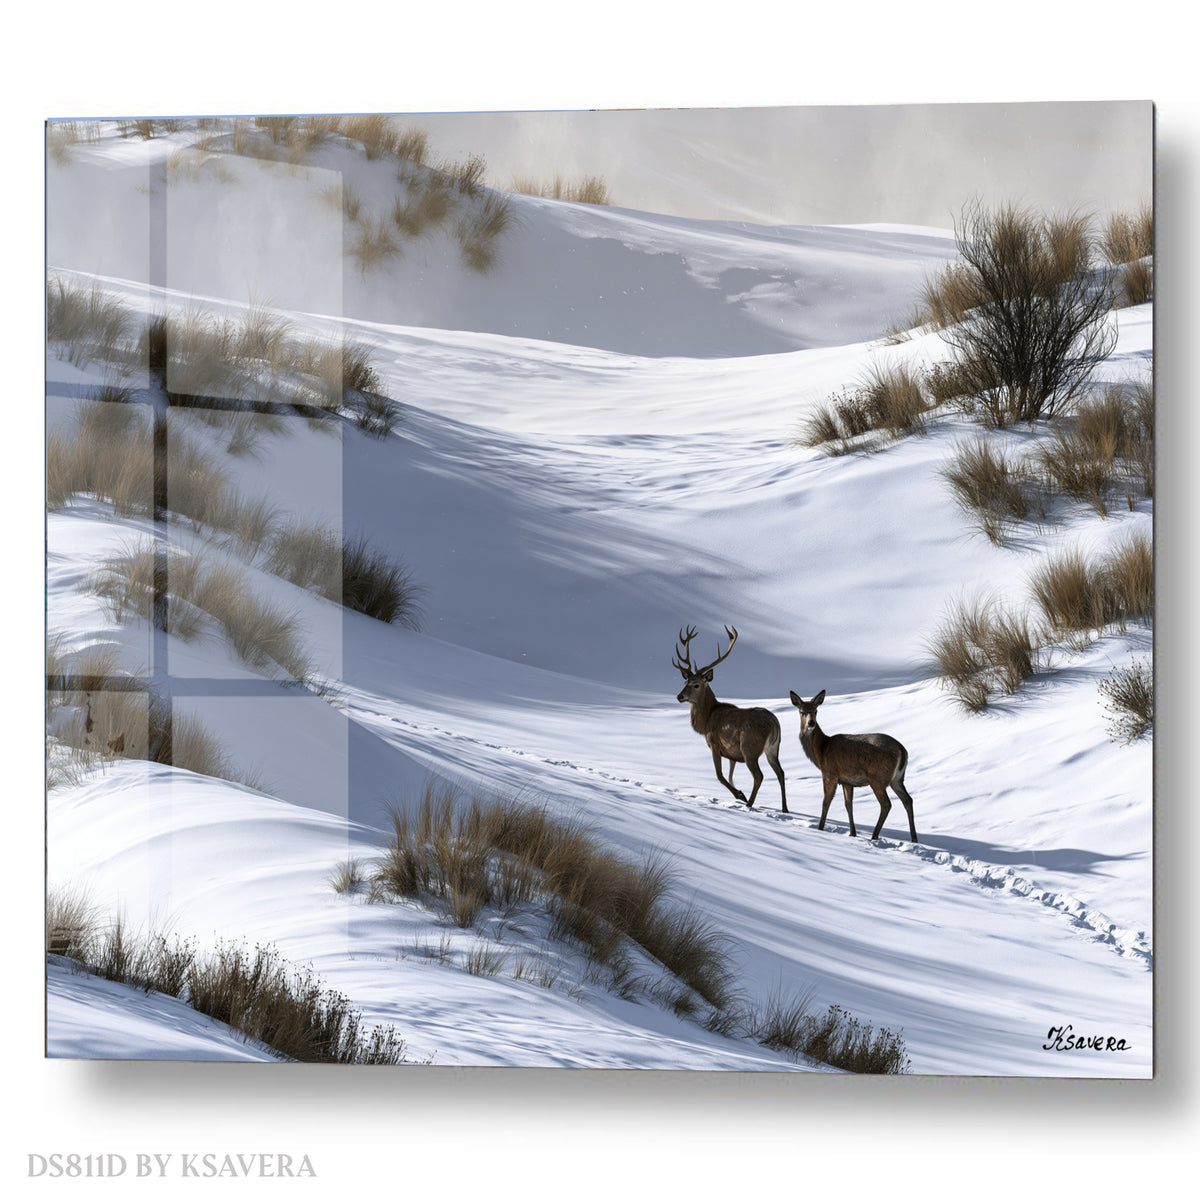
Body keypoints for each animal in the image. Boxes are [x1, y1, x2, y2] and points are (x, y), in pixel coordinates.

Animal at [673, 625, 787, 813]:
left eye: (696, 684)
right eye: (685, 682)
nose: (679, 696)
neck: (706, 720)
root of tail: (774, 724)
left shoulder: (715, 744)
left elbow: (719, 775)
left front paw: (740, 794)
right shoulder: (732, 754)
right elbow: (730, 775)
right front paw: (738, 793)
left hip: (750, 747)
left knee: (759, 775)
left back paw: (749, 803)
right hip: (773, 748)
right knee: (781, 773)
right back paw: (785, 809)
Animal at [789, 690, 918, 843]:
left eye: (816, 711)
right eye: (802, 712)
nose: (811, 723)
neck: (821, 751)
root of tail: (902, 751)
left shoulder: (829, 773)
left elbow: (826, 802)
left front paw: (819, 829)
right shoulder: (846, 781)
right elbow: (848, 804)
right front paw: (852, 833)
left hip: (878, 778)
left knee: (886, 804)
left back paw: (874, 836)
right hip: (897, 779)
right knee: (908, 800)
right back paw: (914, 838)